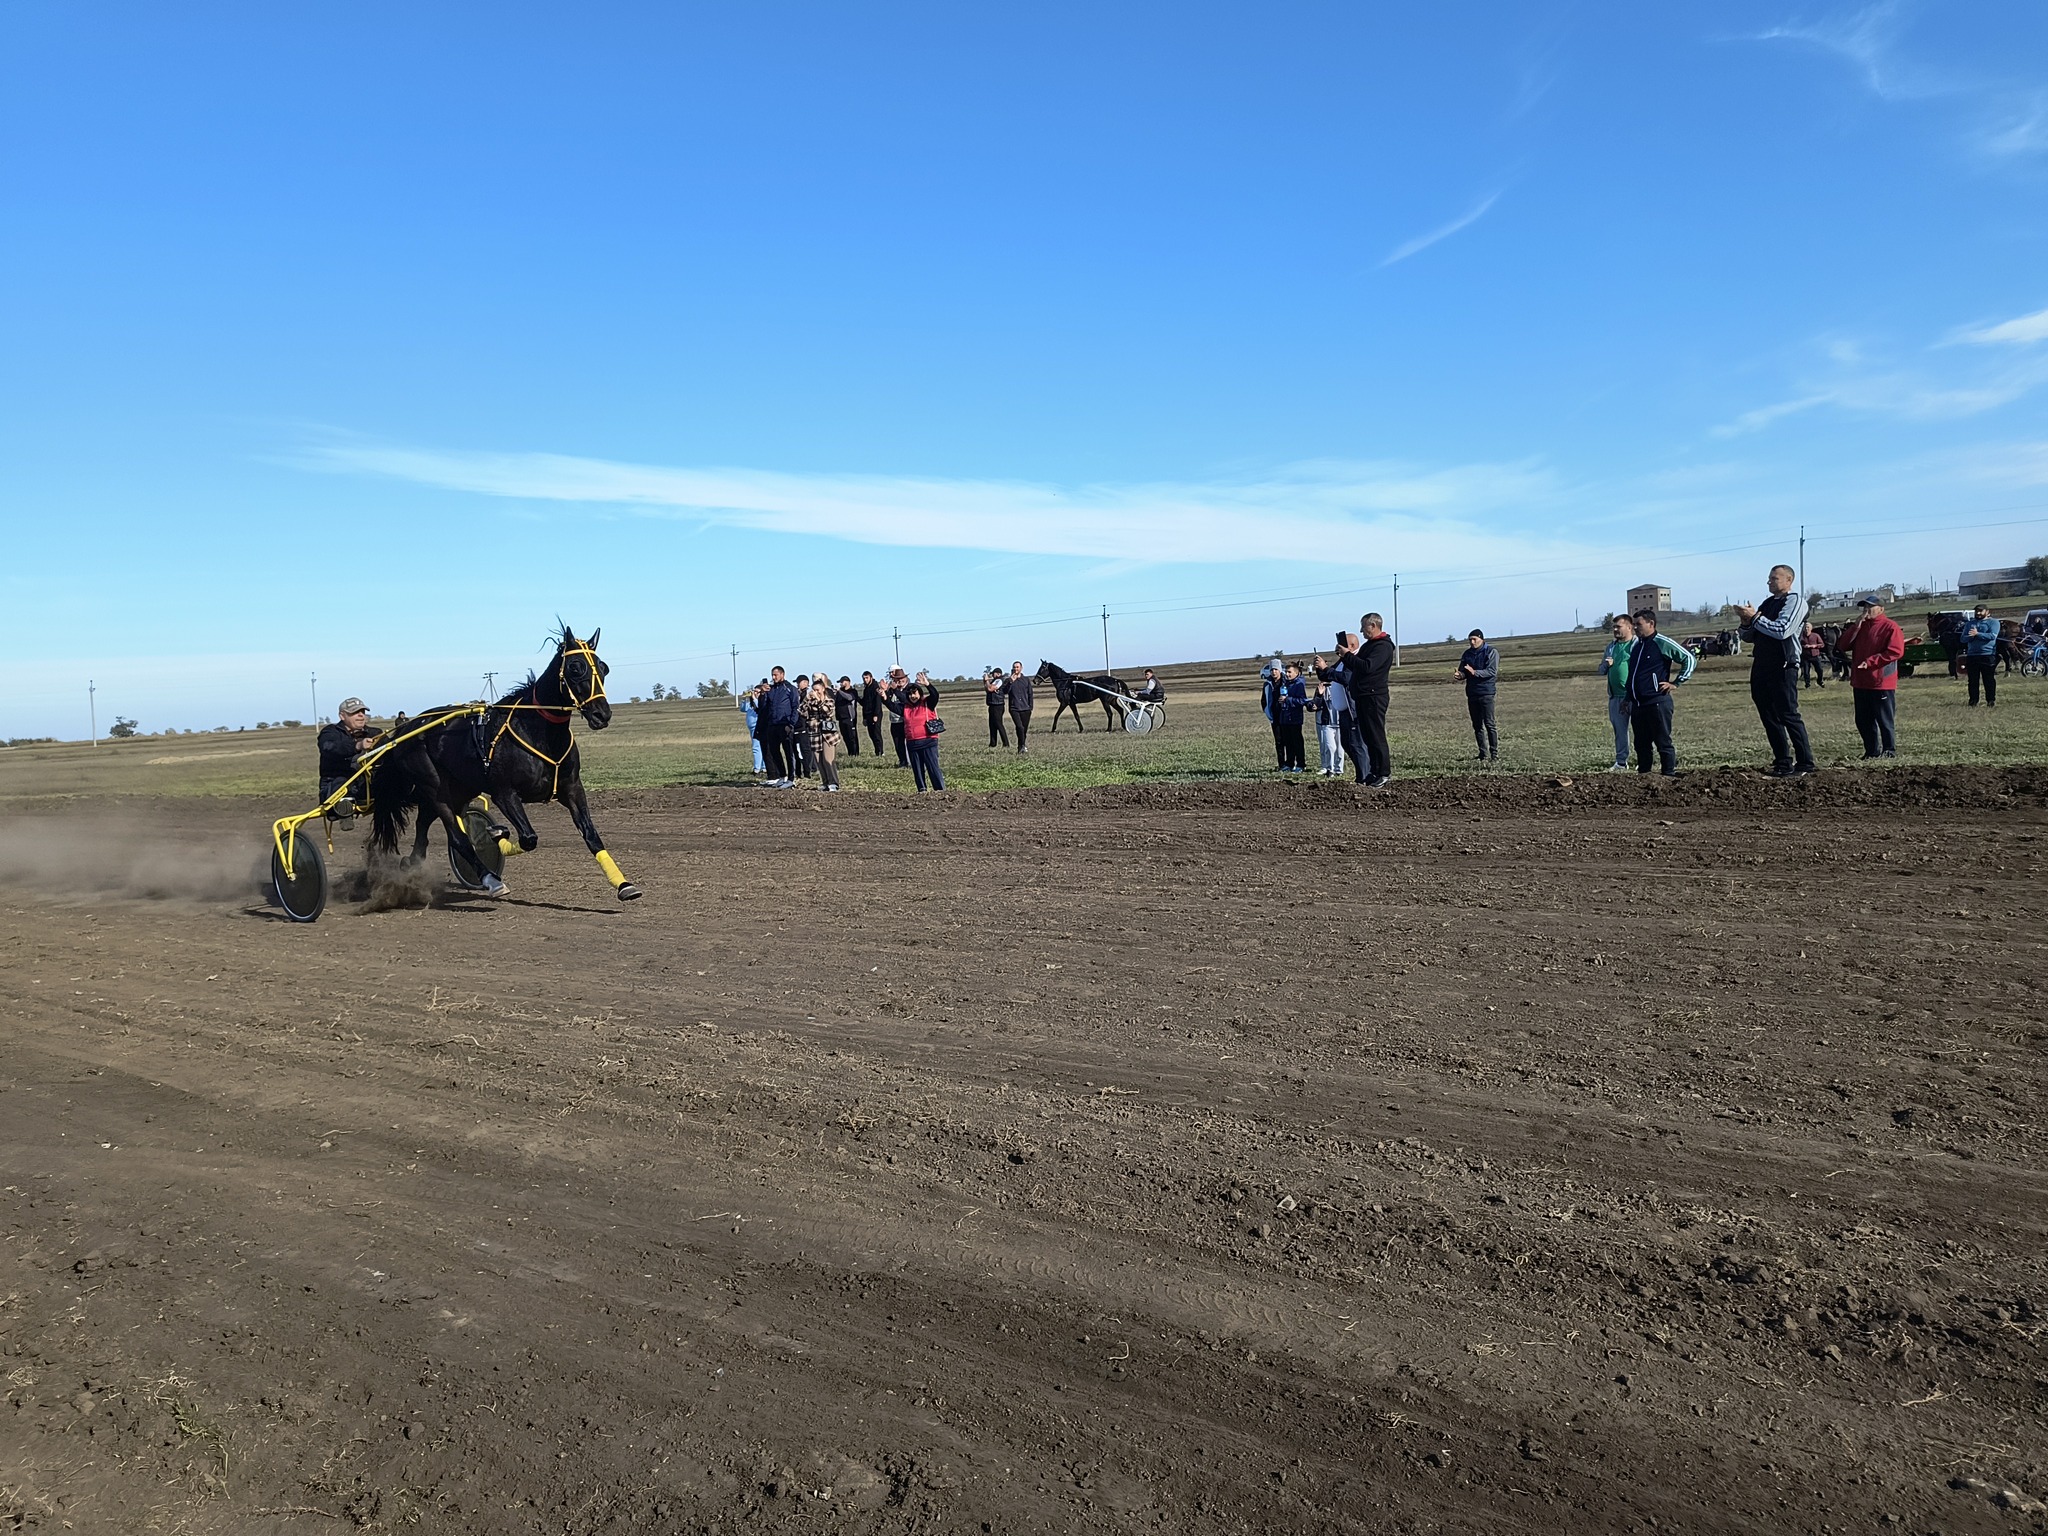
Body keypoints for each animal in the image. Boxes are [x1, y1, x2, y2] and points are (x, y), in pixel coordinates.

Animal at [368, 626, 634, 901]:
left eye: (604, 668)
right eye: (575, 668)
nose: (602, 714)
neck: (537, 731)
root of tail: (406, 729)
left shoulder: (572, 789)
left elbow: (591, 836)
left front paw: (623, 884)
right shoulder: (504, 793)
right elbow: (528, 838)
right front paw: (498, 835)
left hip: (459, 789)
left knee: (424, 828)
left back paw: (412, 864)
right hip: (435, 789)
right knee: (458, 837)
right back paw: (489, 878)